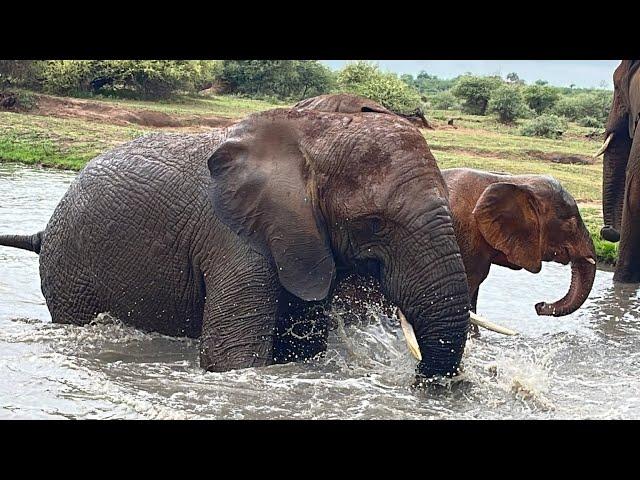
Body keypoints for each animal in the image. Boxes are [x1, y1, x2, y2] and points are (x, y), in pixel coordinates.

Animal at [0, 108, 470, 378]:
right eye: (374, 223)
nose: (419, 380)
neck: (308, 140)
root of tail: (44, 231)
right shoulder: (235, 239)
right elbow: (231, 358)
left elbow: (303, 348)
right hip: (69, 274)